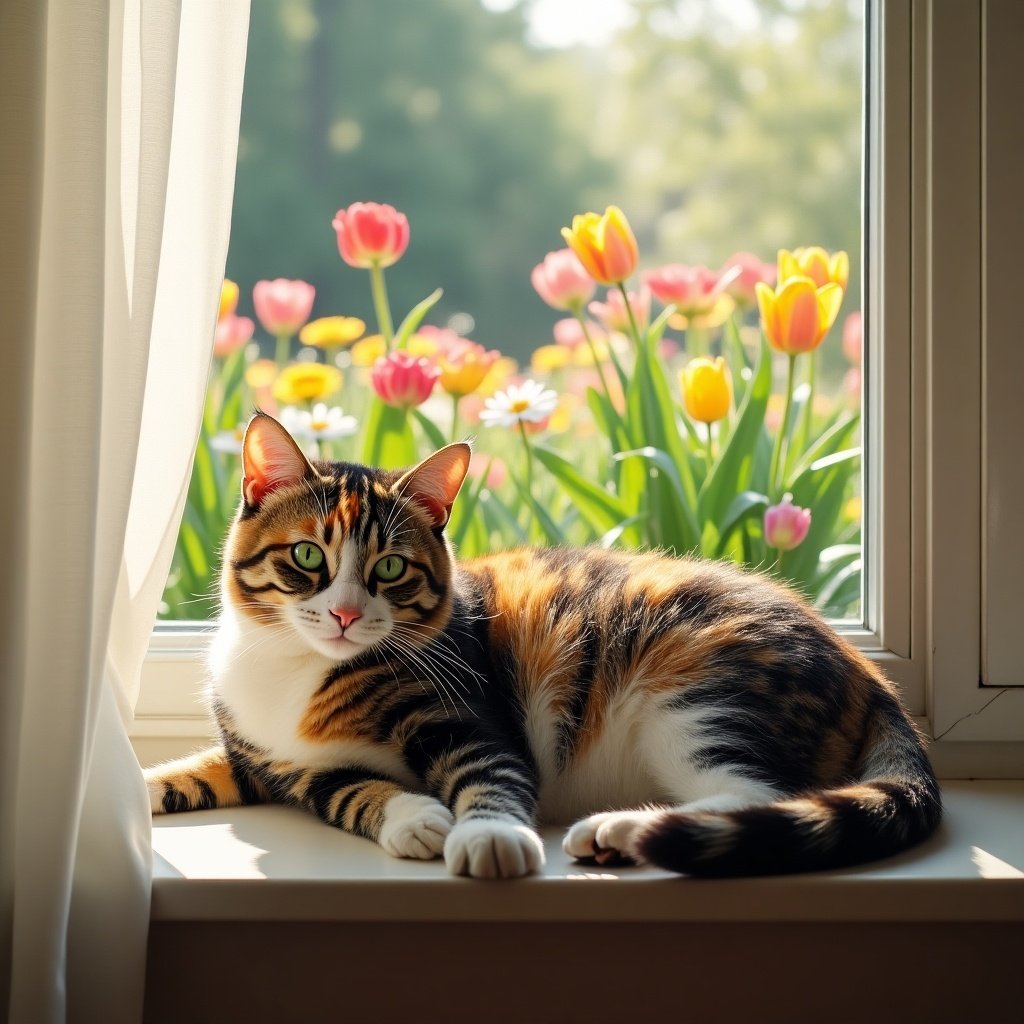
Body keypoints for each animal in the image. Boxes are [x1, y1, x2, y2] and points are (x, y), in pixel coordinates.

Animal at [146, 411, 942, 876]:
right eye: (308, 556)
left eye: (390, 568)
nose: (343, 614)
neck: (298, 672)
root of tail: (869, 674)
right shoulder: (273, 762)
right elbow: (334, 786)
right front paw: (415, 816)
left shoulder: (465, 712)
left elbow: (489, 770)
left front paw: (483, 836)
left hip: (699, 692)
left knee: (751, 792)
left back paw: (622, 829)